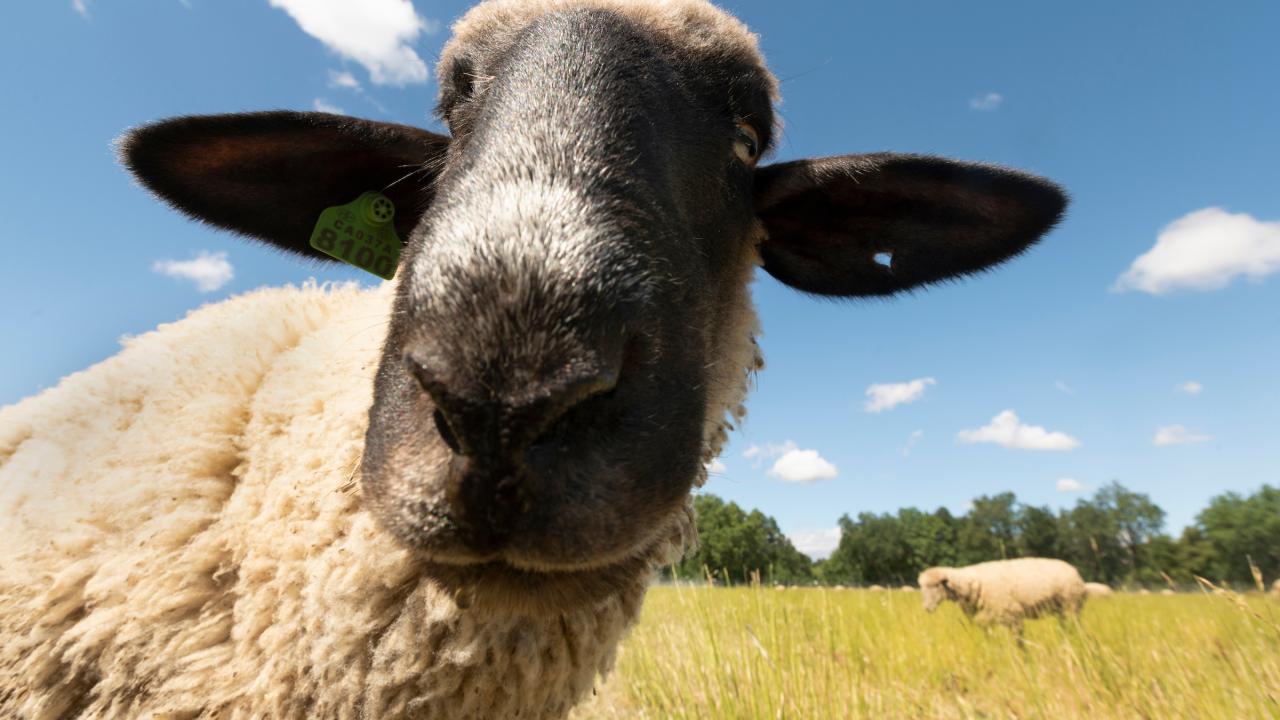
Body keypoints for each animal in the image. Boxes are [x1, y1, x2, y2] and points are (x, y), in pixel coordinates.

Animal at [918, 558, 1086, 631]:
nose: (926, 608)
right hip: (1062, 610)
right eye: (922, 588)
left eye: (936, 585)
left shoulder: (1012, 615)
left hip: (1071, 606)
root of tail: (1077, 574)